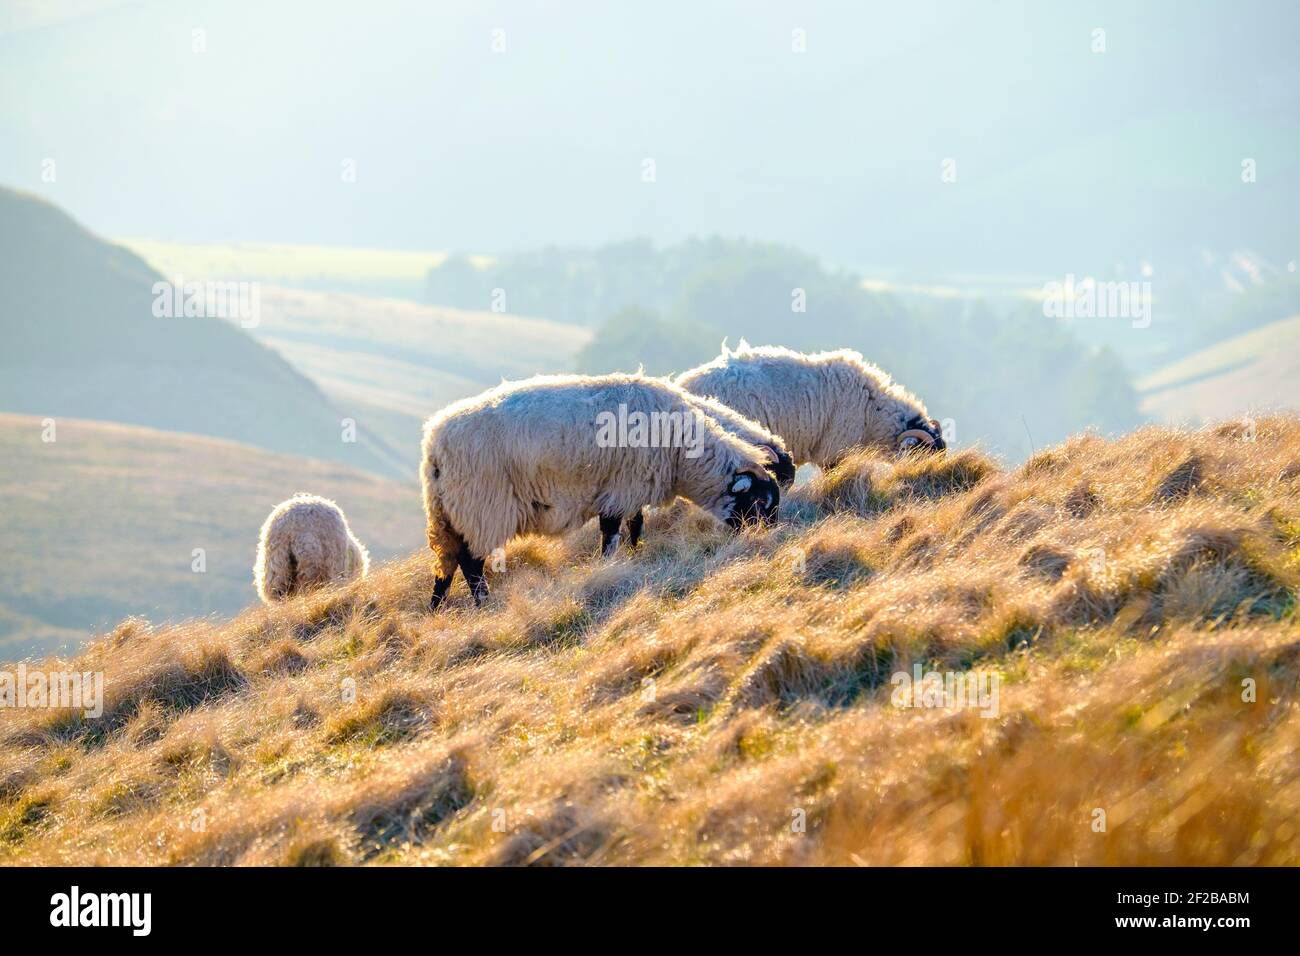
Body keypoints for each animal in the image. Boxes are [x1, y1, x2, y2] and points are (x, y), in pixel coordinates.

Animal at [421, 369, 774, 608]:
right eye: (758, 503)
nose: (768, 536)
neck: (682, 453)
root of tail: (435, 448)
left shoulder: (632, 488)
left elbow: (636, 524)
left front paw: (634, 556)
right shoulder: (619, 489)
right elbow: (611, 533)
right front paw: (609, 566)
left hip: (449, 513)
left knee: (446, 563)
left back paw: (438, 608)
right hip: (481, 507)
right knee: (470, 562)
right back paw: (484, 602)